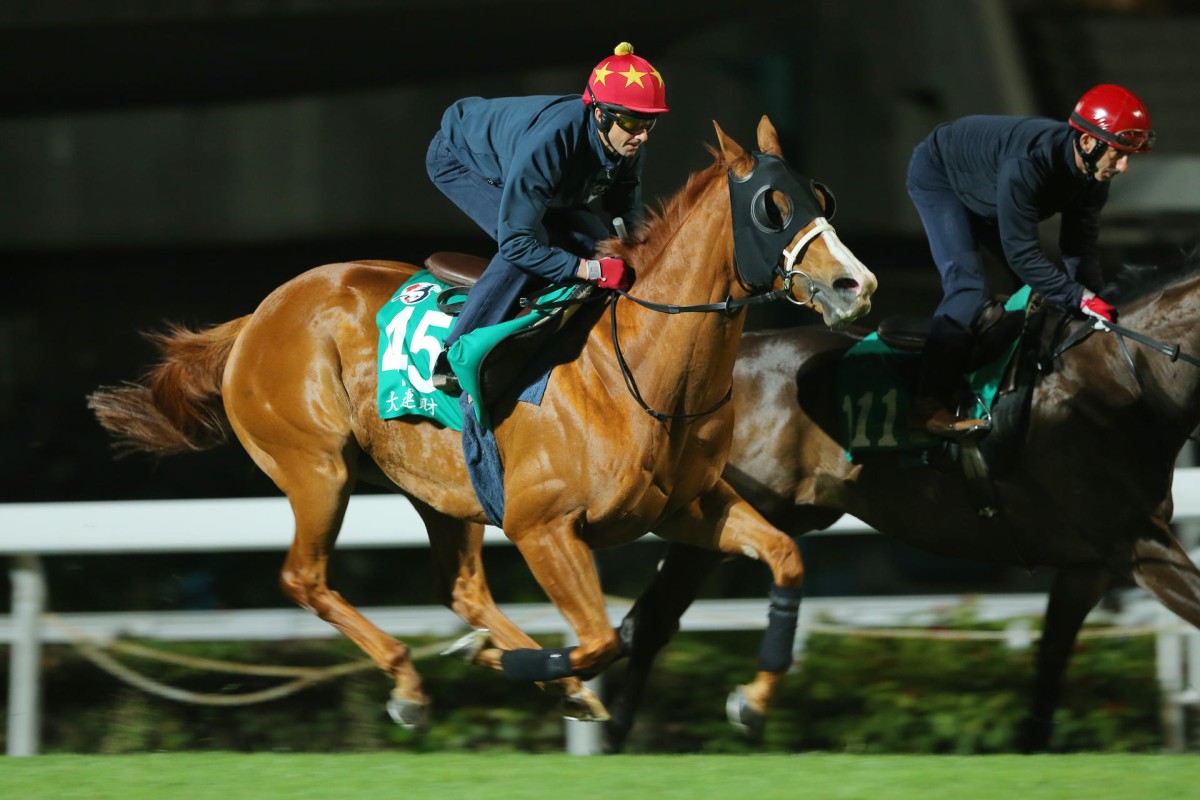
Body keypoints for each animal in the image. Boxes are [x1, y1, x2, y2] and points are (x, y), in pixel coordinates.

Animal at [84, 117, 873, 734]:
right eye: (772, 207)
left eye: (822, 197)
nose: (855, 286)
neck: (641, 372)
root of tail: (260, 313)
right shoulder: (543, 527)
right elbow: (600, 640)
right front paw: (515, 663)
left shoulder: (687, 509)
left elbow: (785, 558)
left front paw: (751, 699)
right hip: (318, 469)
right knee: (303, 577)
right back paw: (411, 682)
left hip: (442, 491)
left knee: (461, 588)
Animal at [604, 260, 1200, 753]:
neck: (1122, 381)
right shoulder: (1137, 545)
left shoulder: (1091, 563)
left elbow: (1052, 656)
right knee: (650, 622)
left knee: (649, 621)